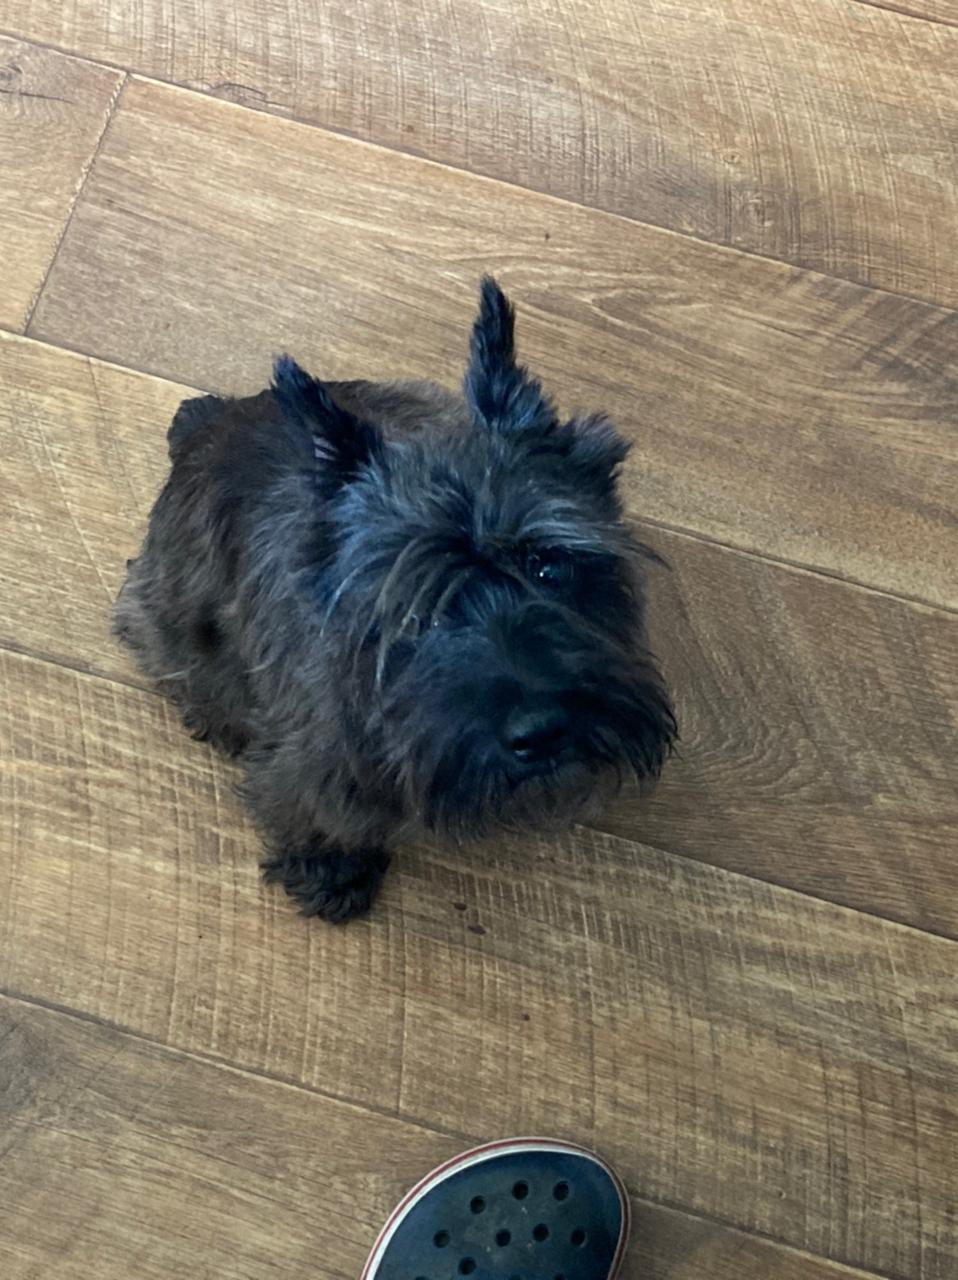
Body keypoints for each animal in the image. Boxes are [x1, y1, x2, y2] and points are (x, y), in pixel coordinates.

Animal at [114, 278, 676, 922]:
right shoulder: (318, 766)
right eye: (414, 613)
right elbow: (319, 813)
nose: (541, 732)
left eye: (549, 565)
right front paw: (331, 871)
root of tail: (212, 421)